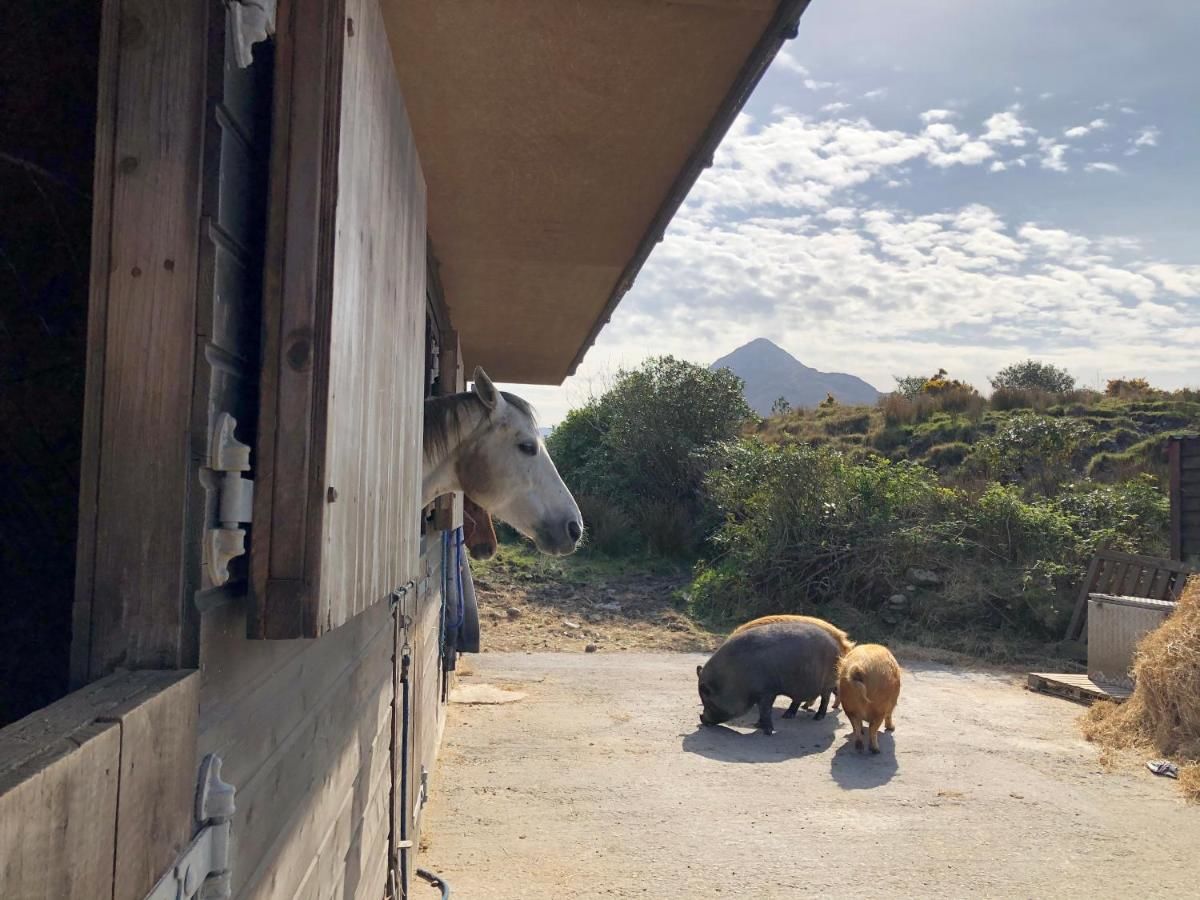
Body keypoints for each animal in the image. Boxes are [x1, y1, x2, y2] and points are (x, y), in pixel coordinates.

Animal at [700, 624, 840, 734]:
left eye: (708, 701)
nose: (701, 718)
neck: (733, 679)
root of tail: (836, 645)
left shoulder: (767, 692)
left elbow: (765, 710)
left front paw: (768, 732)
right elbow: (762, 711)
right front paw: (757, 725)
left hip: (828, 683)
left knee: (825, 699)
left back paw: (818, 717)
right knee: (797, 700)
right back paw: (787, 716)